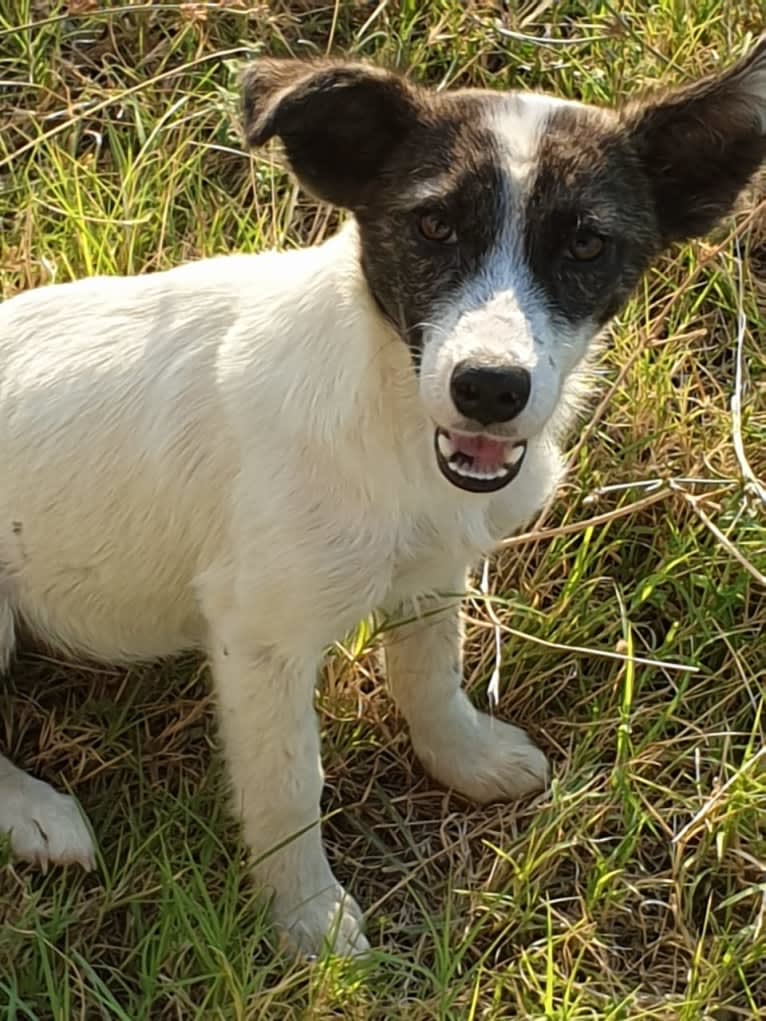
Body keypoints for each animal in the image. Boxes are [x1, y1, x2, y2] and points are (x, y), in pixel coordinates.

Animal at [0, 33, 763, 955]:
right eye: (433, 225)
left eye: (586, 244)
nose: (489, 388)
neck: (391, 410)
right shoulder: (260, 636)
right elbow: (290, 786)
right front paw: (309, 920)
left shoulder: (434, 570)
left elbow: (431, 676)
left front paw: (464, 758)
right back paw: (36, 813)